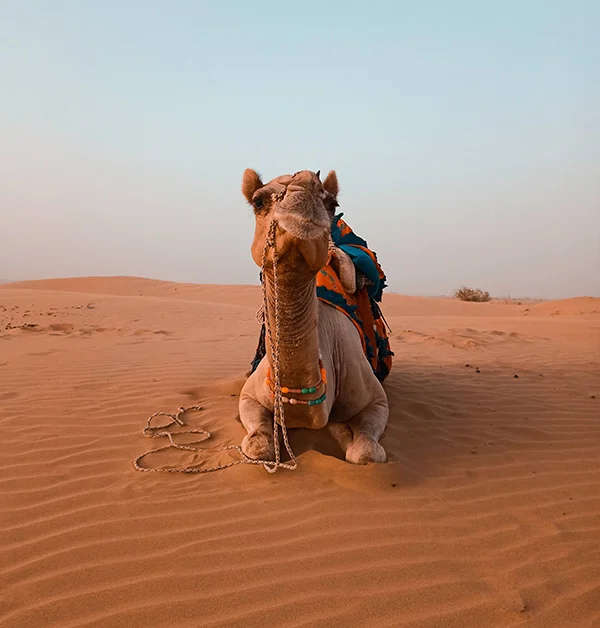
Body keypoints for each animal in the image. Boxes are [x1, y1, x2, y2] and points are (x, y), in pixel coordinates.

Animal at [238, 169, 390, 464]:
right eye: (258, 201)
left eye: (332, 203)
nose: (305, 182)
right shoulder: (249, 395)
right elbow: (257, 447)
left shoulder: (377, 400)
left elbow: (365, 452)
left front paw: (343, 432)